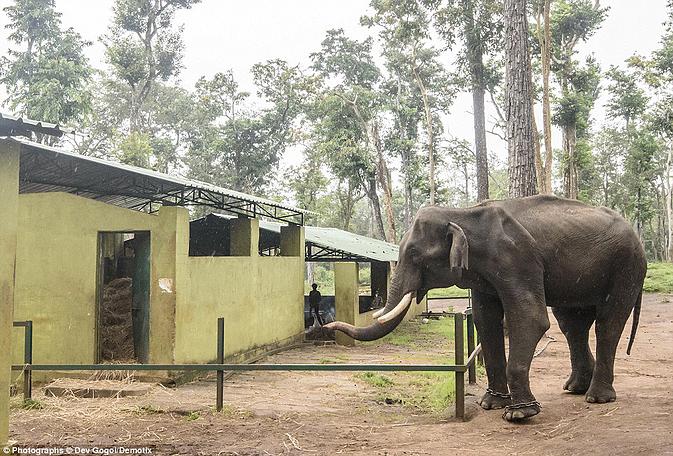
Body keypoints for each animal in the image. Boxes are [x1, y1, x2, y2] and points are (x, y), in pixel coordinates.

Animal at [326, 194, 644, 422]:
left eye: (415, 254)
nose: (326, 325)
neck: (462, 213)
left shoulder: (517, 258)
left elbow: (530, 318)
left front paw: (518, 414)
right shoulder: (482, 273)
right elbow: (485, 319)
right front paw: (490, 404)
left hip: (626, 266)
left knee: (608, 323)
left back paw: (597, 398)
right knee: (572, 325)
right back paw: (576, 389)